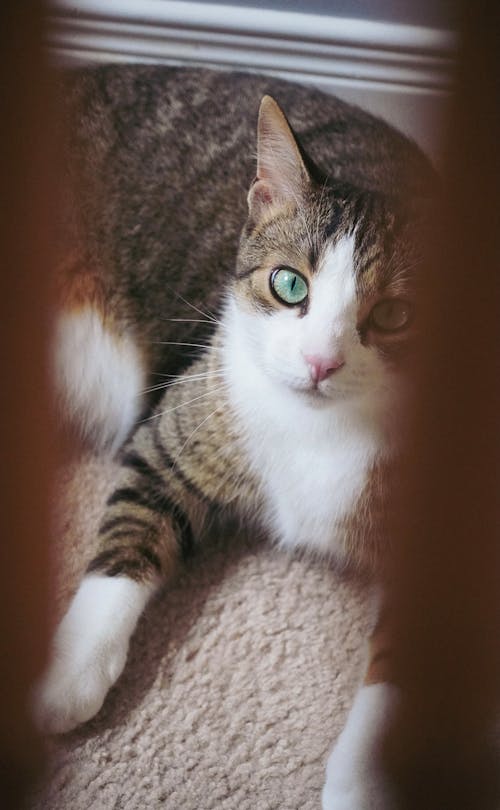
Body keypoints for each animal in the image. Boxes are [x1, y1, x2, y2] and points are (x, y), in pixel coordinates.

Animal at [35, 64, 436, 808]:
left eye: (396, 316)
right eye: (289, 285)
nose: (319, 362)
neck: (325, 428)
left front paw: (362, 779)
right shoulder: (173, 435)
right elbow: (124, 543)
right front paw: (67, 672)